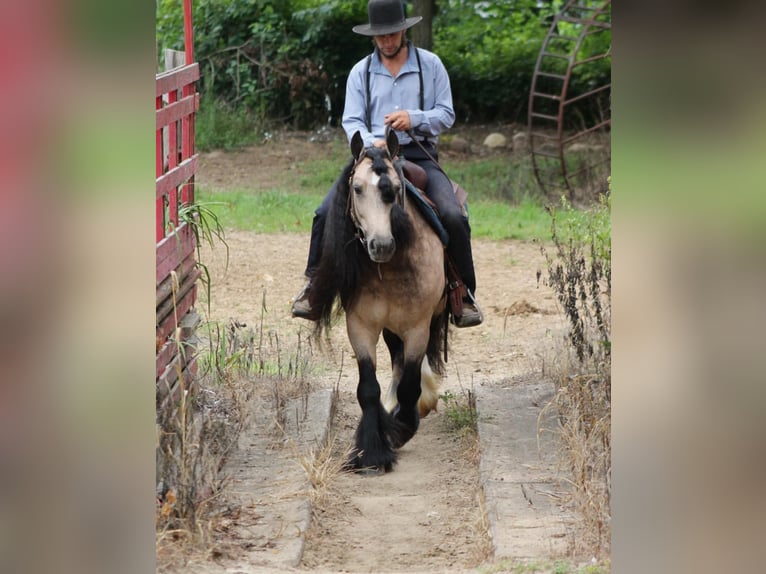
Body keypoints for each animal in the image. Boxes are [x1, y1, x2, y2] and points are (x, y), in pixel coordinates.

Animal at [310, 128, 450, 474]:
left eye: (395, 190)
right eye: (357, 188)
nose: (382, 246)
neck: (389, 267)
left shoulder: (417, 327)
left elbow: (411, 384)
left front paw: (401, 429)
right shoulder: (361, 326)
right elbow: (368, 389)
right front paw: (371, 453)